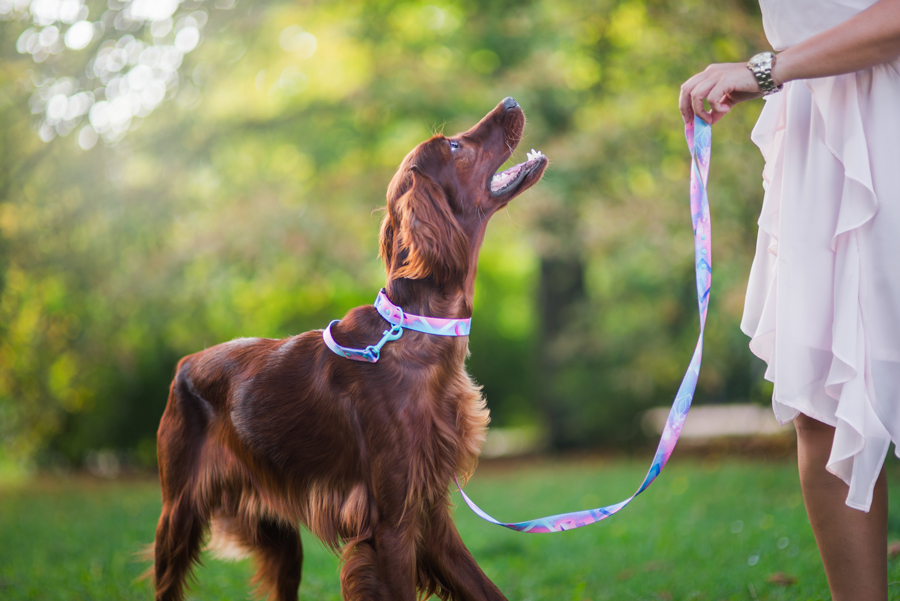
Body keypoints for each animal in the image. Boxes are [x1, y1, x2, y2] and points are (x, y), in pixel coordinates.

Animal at [153, 96, 548, 596]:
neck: (417, 332)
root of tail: (186, 362)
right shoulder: (391, 525)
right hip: (178, 517)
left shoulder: (430, 512)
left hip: (280, 533)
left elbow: (485, 590)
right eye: (455, 146)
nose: (511, 101)